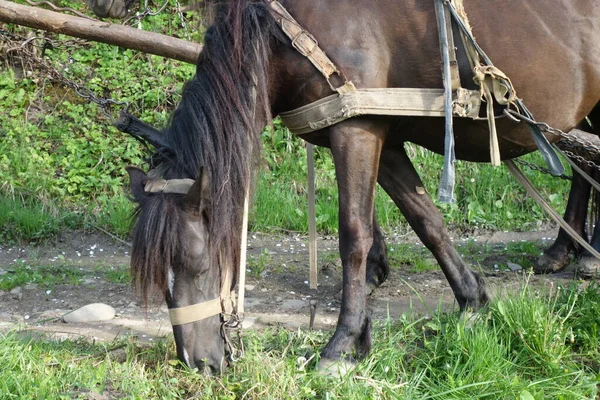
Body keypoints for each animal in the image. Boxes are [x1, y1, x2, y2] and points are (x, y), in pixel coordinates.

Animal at [122, 0, 600, 376]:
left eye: (198, 265)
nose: (196, 364)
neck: (287, 34)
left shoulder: (357, 131)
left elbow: (353, 235)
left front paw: (343, 342)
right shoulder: (385, 141)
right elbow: (426, 221)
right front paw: (472, 301)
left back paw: (583, 253)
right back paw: (568, 249)